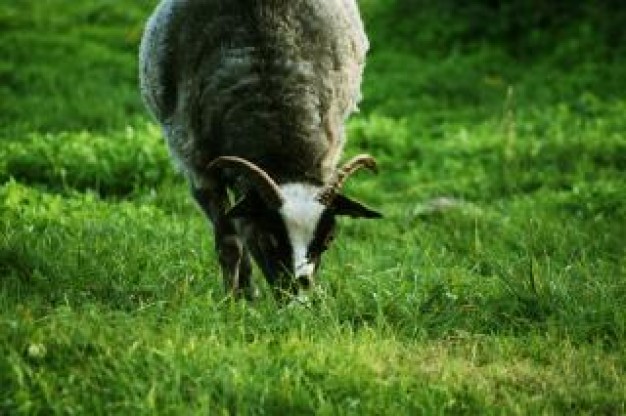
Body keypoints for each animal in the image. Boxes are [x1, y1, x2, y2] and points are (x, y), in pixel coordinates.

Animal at [138, 0, 378, 300]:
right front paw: (233, 300)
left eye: (328, 240)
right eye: (268, 239)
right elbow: (230, 242)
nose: (297, 298)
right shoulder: (200, 171)